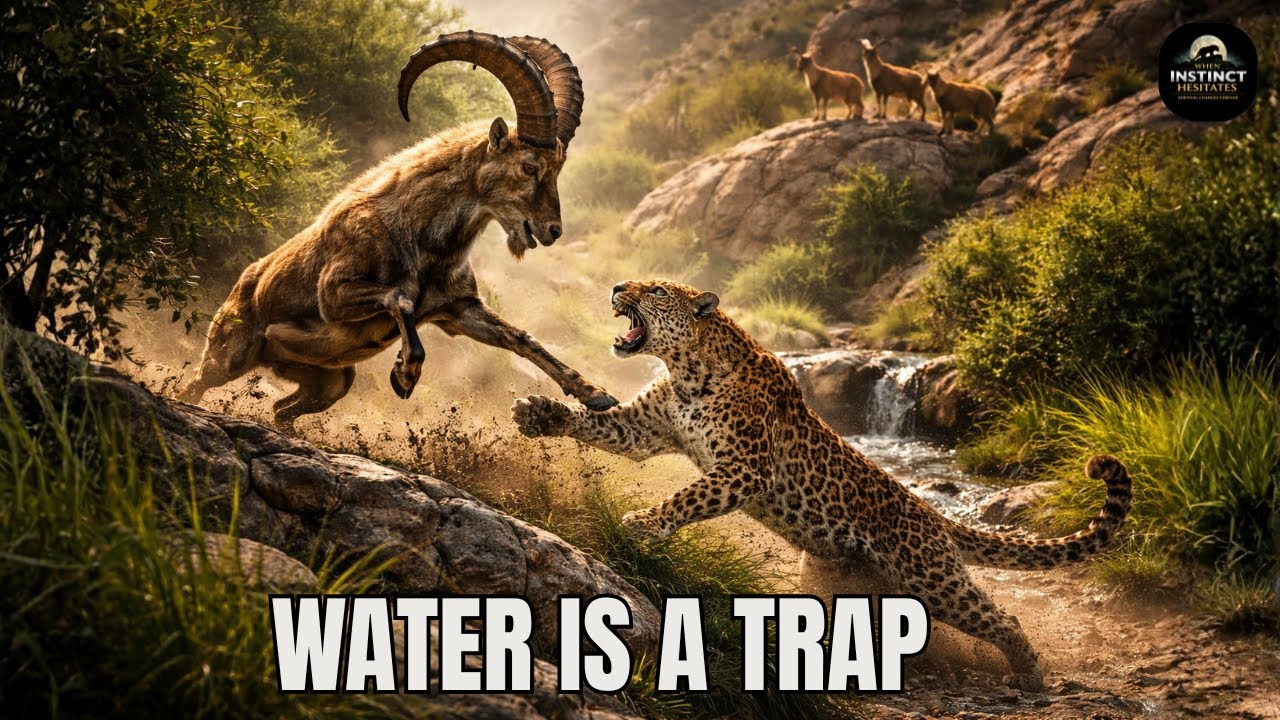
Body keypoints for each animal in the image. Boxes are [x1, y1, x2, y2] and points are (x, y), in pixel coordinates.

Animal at [178, 31, 618, 427]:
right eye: (528, 166)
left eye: (557, 167)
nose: (552, 230)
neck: (426, 241)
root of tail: (241, 284)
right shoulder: (334, 295)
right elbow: (400, 297)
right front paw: (404, 374)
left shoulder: (459, 310)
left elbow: (522, 337)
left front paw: (597, 393)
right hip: (230, 355)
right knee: (196, 384)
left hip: (331, 382)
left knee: (282, 408)